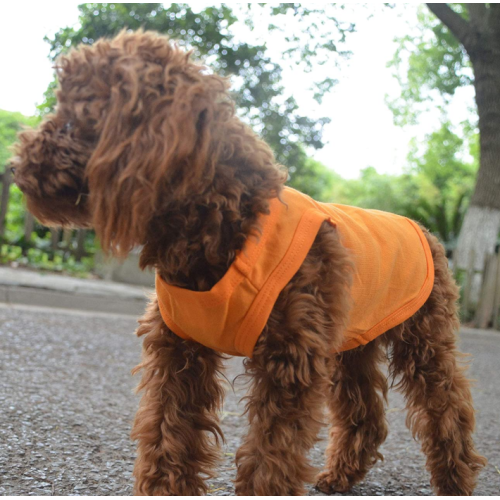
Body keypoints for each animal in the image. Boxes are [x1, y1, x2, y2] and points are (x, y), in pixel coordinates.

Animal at [11, 32, 486, 496]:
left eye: (70, 120)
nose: (14, 167)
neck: (227, 221)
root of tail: (424, 229)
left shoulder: (290, 363)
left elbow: (271, 458)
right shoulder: (178, 353)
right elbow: (167, 435)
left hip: (424, 337)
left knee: (448, 405)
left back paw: (454, 480)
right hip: (352, 339)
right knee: (365, 411)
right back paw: (339, 476)